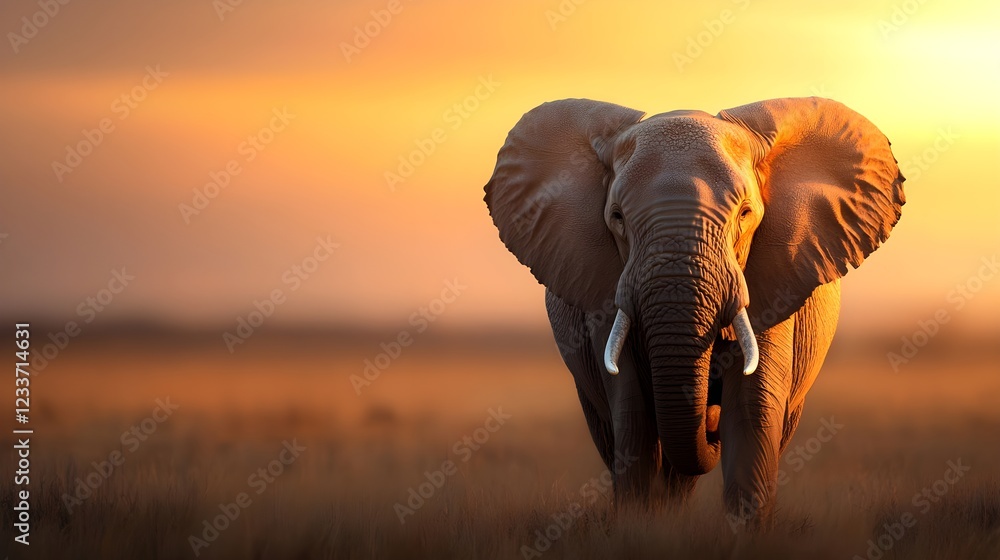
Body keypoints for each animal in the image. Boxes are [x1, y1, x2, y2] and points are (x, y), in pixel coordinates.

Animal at [483, 97, 905, 526]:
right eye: (617, 217)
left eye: (745, 214)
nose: (710, 425)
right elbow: (631, 407)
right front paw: (639, 526)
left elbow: (751, 405)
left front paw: (744, 532)